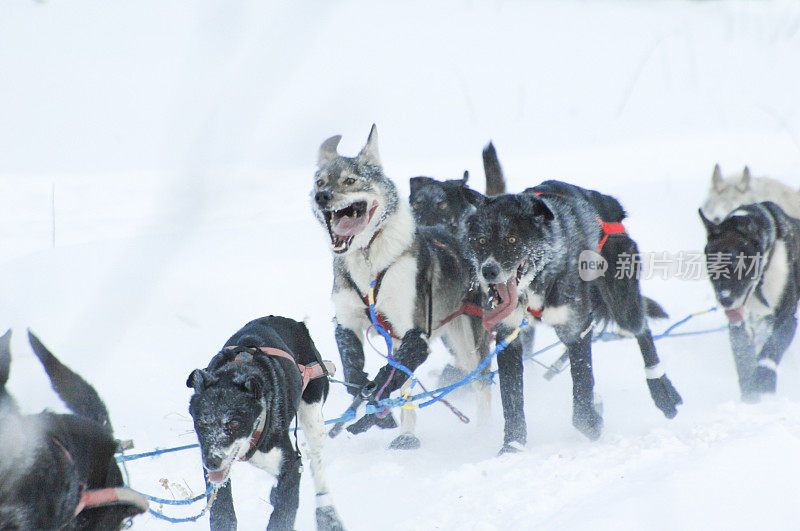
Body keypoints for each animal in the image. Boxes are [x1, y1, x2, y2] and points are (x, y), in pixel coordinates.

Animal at [187, 318, 344, 531]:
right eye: (201, 423)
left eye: (234, 423)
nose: (212, 461)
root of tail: (292, 322)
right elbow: (223, 511)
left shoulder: (291, 464)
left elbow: (282, 515)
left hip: (313, 416)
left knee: (317, 462)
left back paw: (327, 514)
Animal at [310, 125, 490, 448]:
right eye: (320, 181)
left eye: (350, 180)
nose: (322, 196)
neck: (369, 260)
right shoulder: (347, 323)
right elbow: (356, 374)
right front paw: (369, 404)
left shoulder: (414, 332)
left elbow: (388, 380)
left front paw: (375, 408)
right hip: (399, 341)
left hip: (468, 343)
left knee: (480, 382)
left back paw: (480, 431)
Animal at [466, 182, 684, 454]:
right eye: (482, 240)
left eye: (512, 239)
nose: (488, 271)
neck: (539, 279)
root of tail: (608, 203)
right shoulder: (509, 337)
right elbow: (512, 399)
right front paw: (512, 445)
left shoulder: (577, 328)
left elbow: (582, 385)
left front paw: (592, 423)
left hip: (622, 303)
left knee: (641, 328)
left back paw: (662, 390)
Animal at [700, 202, 800, 402]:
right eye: (712, 268)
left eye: (739, 267)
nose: (725, 300)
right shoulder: (740, 323)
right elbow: (743, 356)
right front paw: (750, 394)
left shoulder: (787, 316)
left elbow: (772, 347)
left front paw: (764, 381)